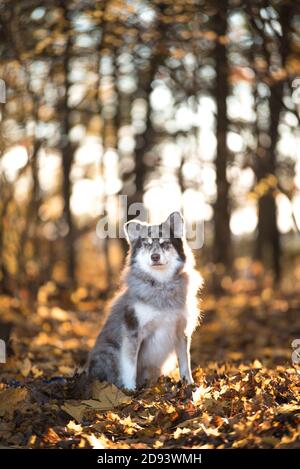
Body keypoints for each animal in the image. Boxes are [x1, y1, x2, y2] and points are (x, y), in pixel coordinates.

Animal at [88, 211, 203, 388]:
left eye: (164, 243)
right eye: (147, 244)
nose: (155, 257)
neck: (161, 286)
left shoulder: (181, 331)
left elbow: (185, 362)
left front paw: (189, 384)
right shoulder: (133, 332)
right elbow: (130, 367)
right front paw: (130, 390)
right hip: (110, 352)